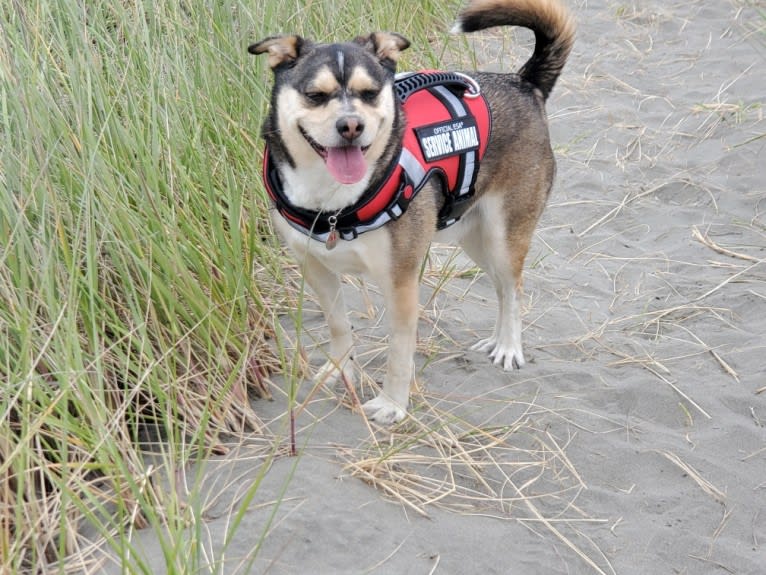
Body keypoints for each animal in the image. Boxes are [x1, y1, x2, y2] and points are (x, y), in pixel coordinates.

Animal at [250, 0, 576, 424]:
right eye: (315, 95)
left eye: (370, 94)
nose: (351, 125)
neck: (332, 203)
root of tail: (523, 83)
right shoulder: (315, 268)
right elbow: (339, 326)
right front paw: (341, 369)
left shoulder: (400, 282)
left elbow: (398, 353)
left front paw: (392, 404)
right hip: (475, 238)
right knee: (502, 289)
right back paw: (496, 338)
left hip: (504, 235)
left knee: (513, 287)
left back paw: (508, 345)